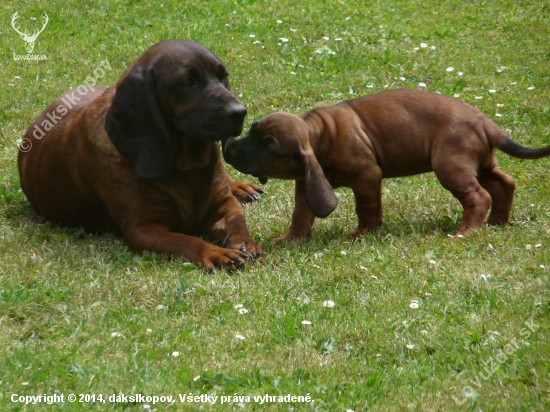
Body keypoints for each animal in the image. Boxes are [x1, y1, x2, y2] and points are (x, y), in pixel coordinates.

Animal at [18, 38, 264, 270]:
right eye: (187, 82)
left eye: (224, 76)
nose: (240, 112)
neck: (186, 163)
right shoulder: (143, 229)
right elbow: (187, 241)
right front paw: (216, 253)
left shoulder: (224, 203)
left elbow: (237, 222)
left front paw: (246, 244)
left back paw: (241, 187)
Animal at [223, 87, 550, 241]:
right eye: (252, 129)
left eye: (269, 146)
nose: (227, 146)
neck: (321, 135)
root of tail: (484, 120)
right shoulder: (306, 184)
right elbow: (301, 215)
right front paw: (291, 239)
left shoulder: (367, 176)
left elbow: (366, 208)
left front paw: (361, 234)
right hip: (481, 164)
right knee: (504, 184)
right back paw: (495, 223)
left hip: (451, 166)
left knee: (479, 196)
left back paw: (466, 231)